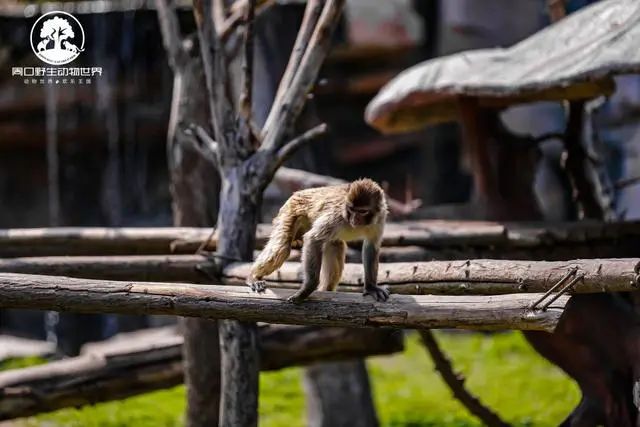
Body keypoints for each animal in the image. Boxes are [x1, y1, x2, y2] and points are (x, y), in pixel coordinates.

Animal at [249, 177, 390, 304]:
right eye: (351, 210)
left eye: (362, 211)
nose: (354, 219)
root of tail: (299, 193)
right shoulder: (337, 216)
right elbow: (313, 239)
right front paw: (307, 289)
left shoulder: (380, 217)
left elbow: (371, 246)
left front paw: (371, 287)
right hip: (290, 210)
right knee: (282, 247)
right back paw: (253, 277)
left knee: (335, 244)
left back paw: (326, 289)